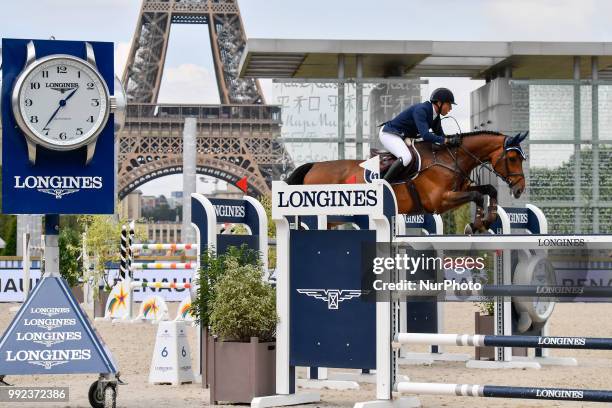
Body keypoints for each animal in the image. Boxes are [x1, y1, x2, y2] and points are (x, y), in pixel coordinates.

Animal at [284, 131, 528, 233]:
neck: (450, 158)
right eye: (512, 158)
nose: (519, 189)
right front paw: (475, 224)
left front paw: (488, 221)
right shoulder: (440, 201)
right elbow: (478, 195)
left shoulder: (459, 191)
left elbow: (489, 190)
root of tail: (314, 166)